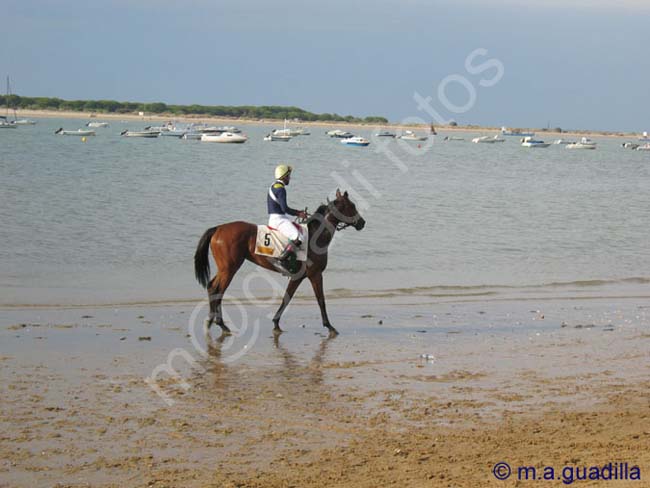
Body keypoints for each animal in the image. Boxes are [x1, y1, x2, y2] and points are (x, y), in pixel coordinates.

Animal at [192, 190, 364, 336]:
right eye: (352, 206)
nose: (362, 223)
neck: (315, 235)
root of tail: (218, 228)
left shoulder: (298, 277)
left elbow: (287, 297)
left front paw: (276, 323)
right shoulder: (315, 275)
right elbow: (321, 300)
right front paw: (329, 326)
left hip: (225, 268)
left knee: (211, 287)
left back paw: (211, 321)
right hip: (229, 268)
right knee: (217, 290)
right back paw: (220, 324)